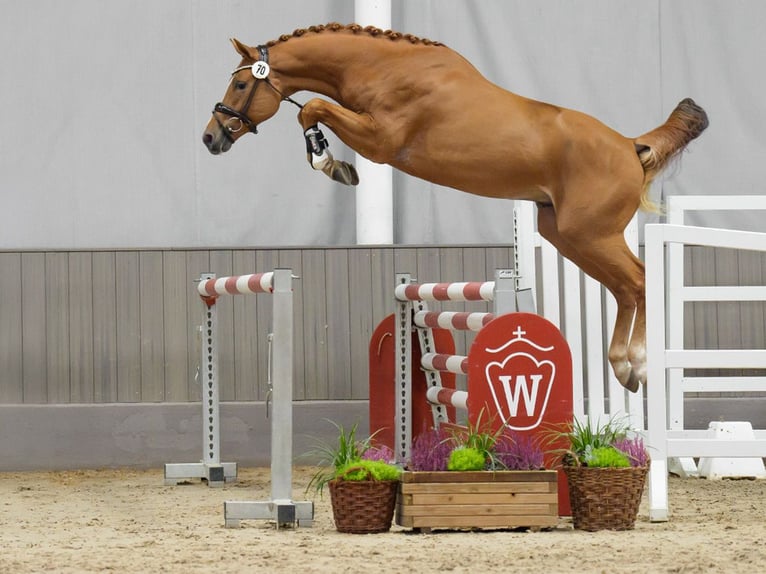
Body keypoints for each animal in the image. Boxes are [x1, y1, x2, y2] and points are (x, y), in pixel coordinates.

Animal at [202, 21, 708, 392]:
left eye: (242, 84)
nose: (211, 138)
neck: (383, 69)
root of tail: (630, 146)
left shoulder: (380, 140)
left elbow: (313, 109)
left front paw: (331, 164)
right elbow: (313, 110)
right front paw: (332, 163)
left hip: (591, 234)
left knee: (638, 282)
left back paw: (637, 365)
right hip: (567, 235)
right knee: (624, 289)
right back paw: (622, 366)